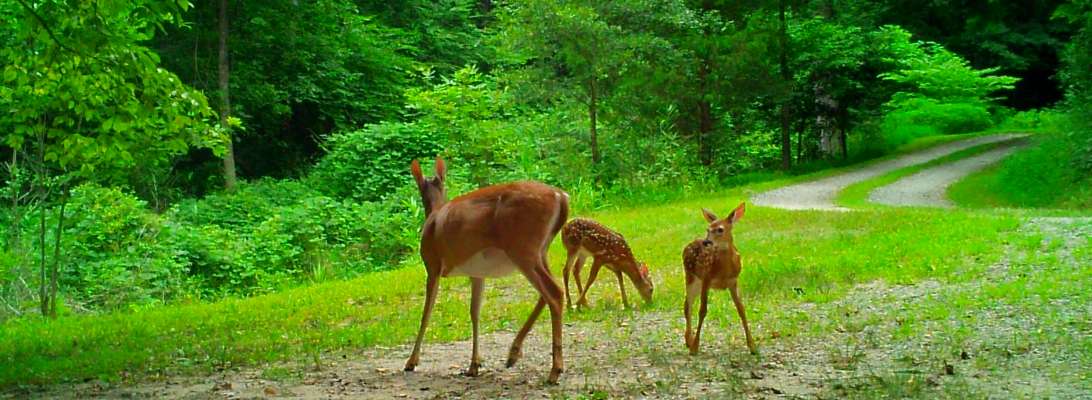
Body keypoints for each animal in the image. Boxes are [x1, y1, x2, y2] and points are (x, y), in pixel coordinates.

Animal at [404, 157, 570, 384]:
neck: (434, 214)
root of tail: (560, 196)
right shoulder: (477, 273)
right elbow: (475, 312)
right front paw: (474, 365)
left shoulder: (433, 265)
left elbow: (426, 313)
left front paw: (411, 362)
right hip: (540, 250)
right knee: (547, 293)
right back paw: (514, 354)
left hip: (522, 249)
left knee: (553, 293)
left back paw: (555, 370)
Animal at [682, 202, 757, 356]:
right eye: (708, 229)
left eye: (720, 229)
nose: (706, 242)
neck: (724, 270)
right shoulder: (707, 278)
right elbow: (702, 311)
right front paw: (695, 347)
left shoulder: (734, 281)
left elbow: (741, 309)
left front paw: (753, 346)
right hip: (690, 276)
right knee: (688, 306)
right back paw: (689, 341)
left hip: (697, 283)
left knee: (687, 304)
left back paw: (688, 340)